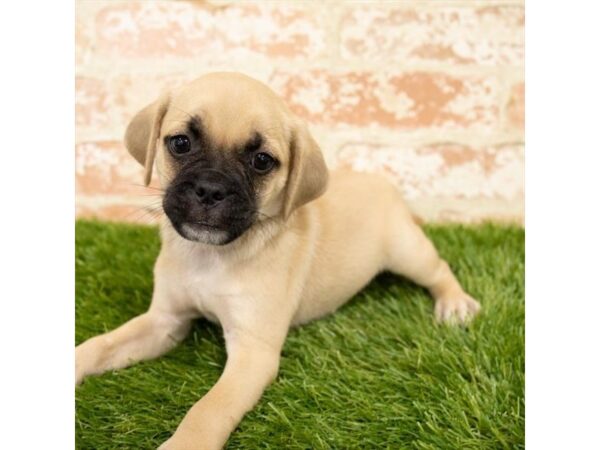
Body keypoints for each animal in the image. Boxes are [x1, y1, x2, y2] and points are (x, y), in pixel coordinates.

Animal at [75, 72, 480, 448]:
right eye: (181, 143)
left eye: (262, 161)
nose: (210, 190)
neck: (212, 256)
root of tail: (384, 183)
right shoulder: (165, 321)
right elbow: (102, 345)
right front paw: (75, 361)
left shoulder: (252, 353)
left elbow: (208, 409)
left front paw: (186, 444)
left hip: (407, 251)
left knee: (439, 269)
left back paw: (455, 304)